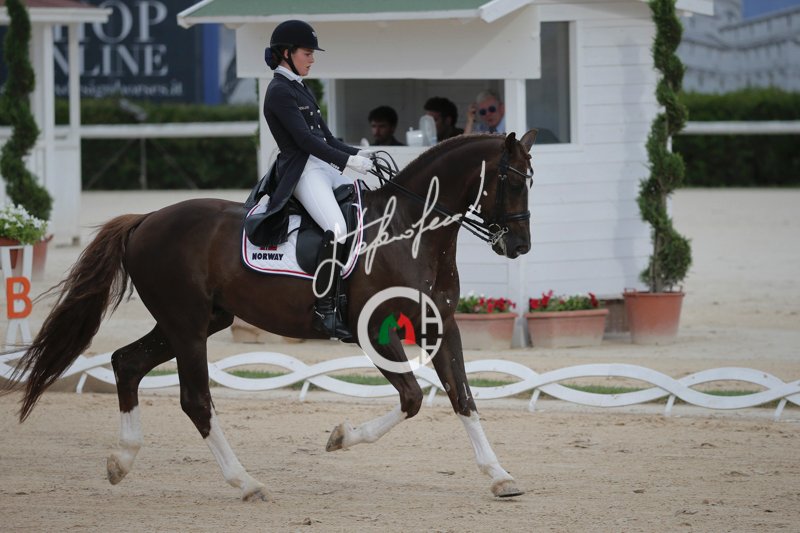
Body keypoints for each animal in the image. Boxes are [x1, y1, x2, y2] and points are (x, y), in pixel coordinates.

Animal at [3, 130, 538, 501]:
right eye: (511, 181)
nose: (519, 246)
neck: (410, 231)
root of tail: (145, 219)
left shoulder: (439, 326)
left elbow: (462, 397)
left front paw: (500, 476)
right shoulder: (374, 331)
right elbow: (411, 398)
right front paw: (341, 437)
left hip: (195, 322)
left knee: (126, 364)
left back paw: (123, 461)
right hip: (187, 326)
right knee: (195, 400)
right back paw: (246, 483)